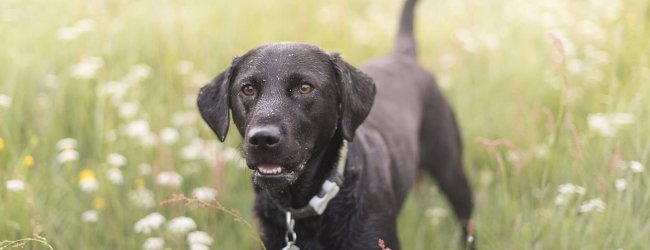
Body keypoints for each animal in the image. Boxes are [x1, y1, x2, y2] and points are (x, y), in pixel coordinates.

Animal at [196, 0, 470, 248]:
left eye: (305, 87)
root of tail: (404, 56)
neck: (303, 209)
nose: (262, 138)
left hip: (452, 173)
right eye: (248, 89)